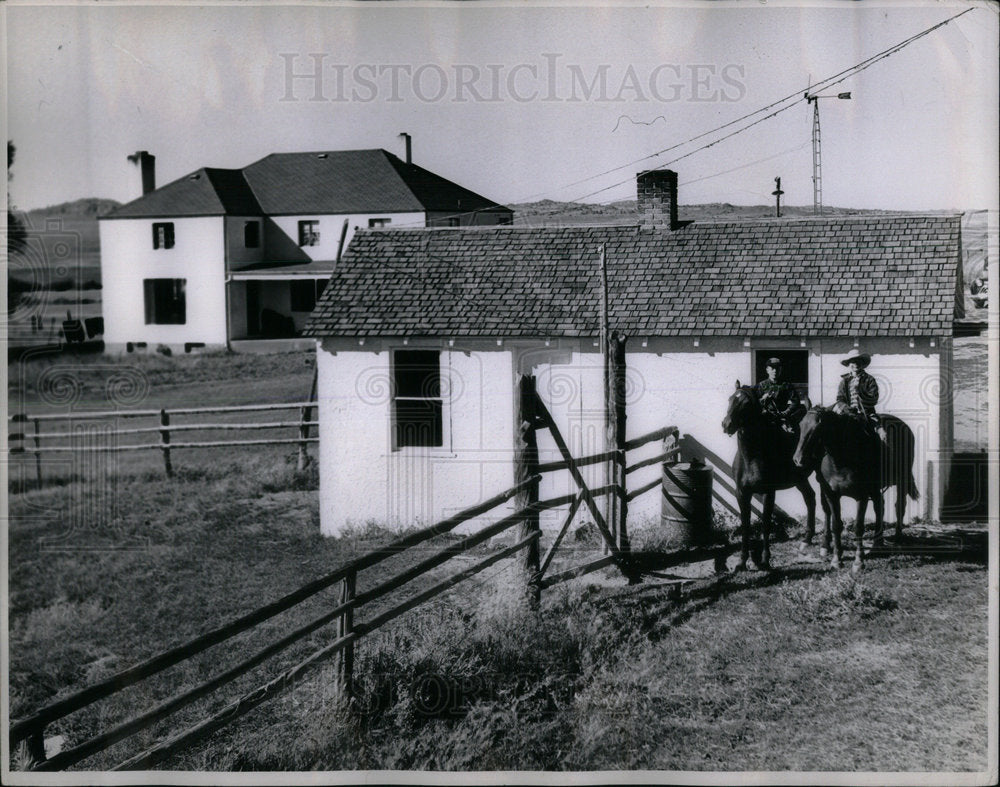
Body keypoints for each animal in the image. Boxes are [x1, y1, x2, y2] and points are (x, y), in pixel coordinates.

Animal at [724, 382, 816, 572]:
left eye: (746, 403)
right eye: (730, 399)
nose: (726, 424)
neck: (751, 457)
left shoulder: (768, 493)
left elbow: (766, 524)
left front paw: (765, 560)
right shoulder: (741, 493)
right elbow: (745, 525)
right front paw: (741, 562)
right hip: (800, 479)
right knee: (810, 498)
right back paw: (807, 539)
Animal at [792, 406, 916, 572]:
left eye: (817, 428)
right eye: (800, 425)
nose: (798, 459)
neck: (841, 460)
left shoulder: (861, 496)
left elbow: (858, 526)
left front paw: (858, 561)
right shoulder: (831, 494)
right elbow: (836, 524)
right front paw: (836, 559)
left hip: (902, 480)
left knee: (899, 507)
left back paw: (897, 537)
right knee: (879, 506)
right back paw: (877, 543)